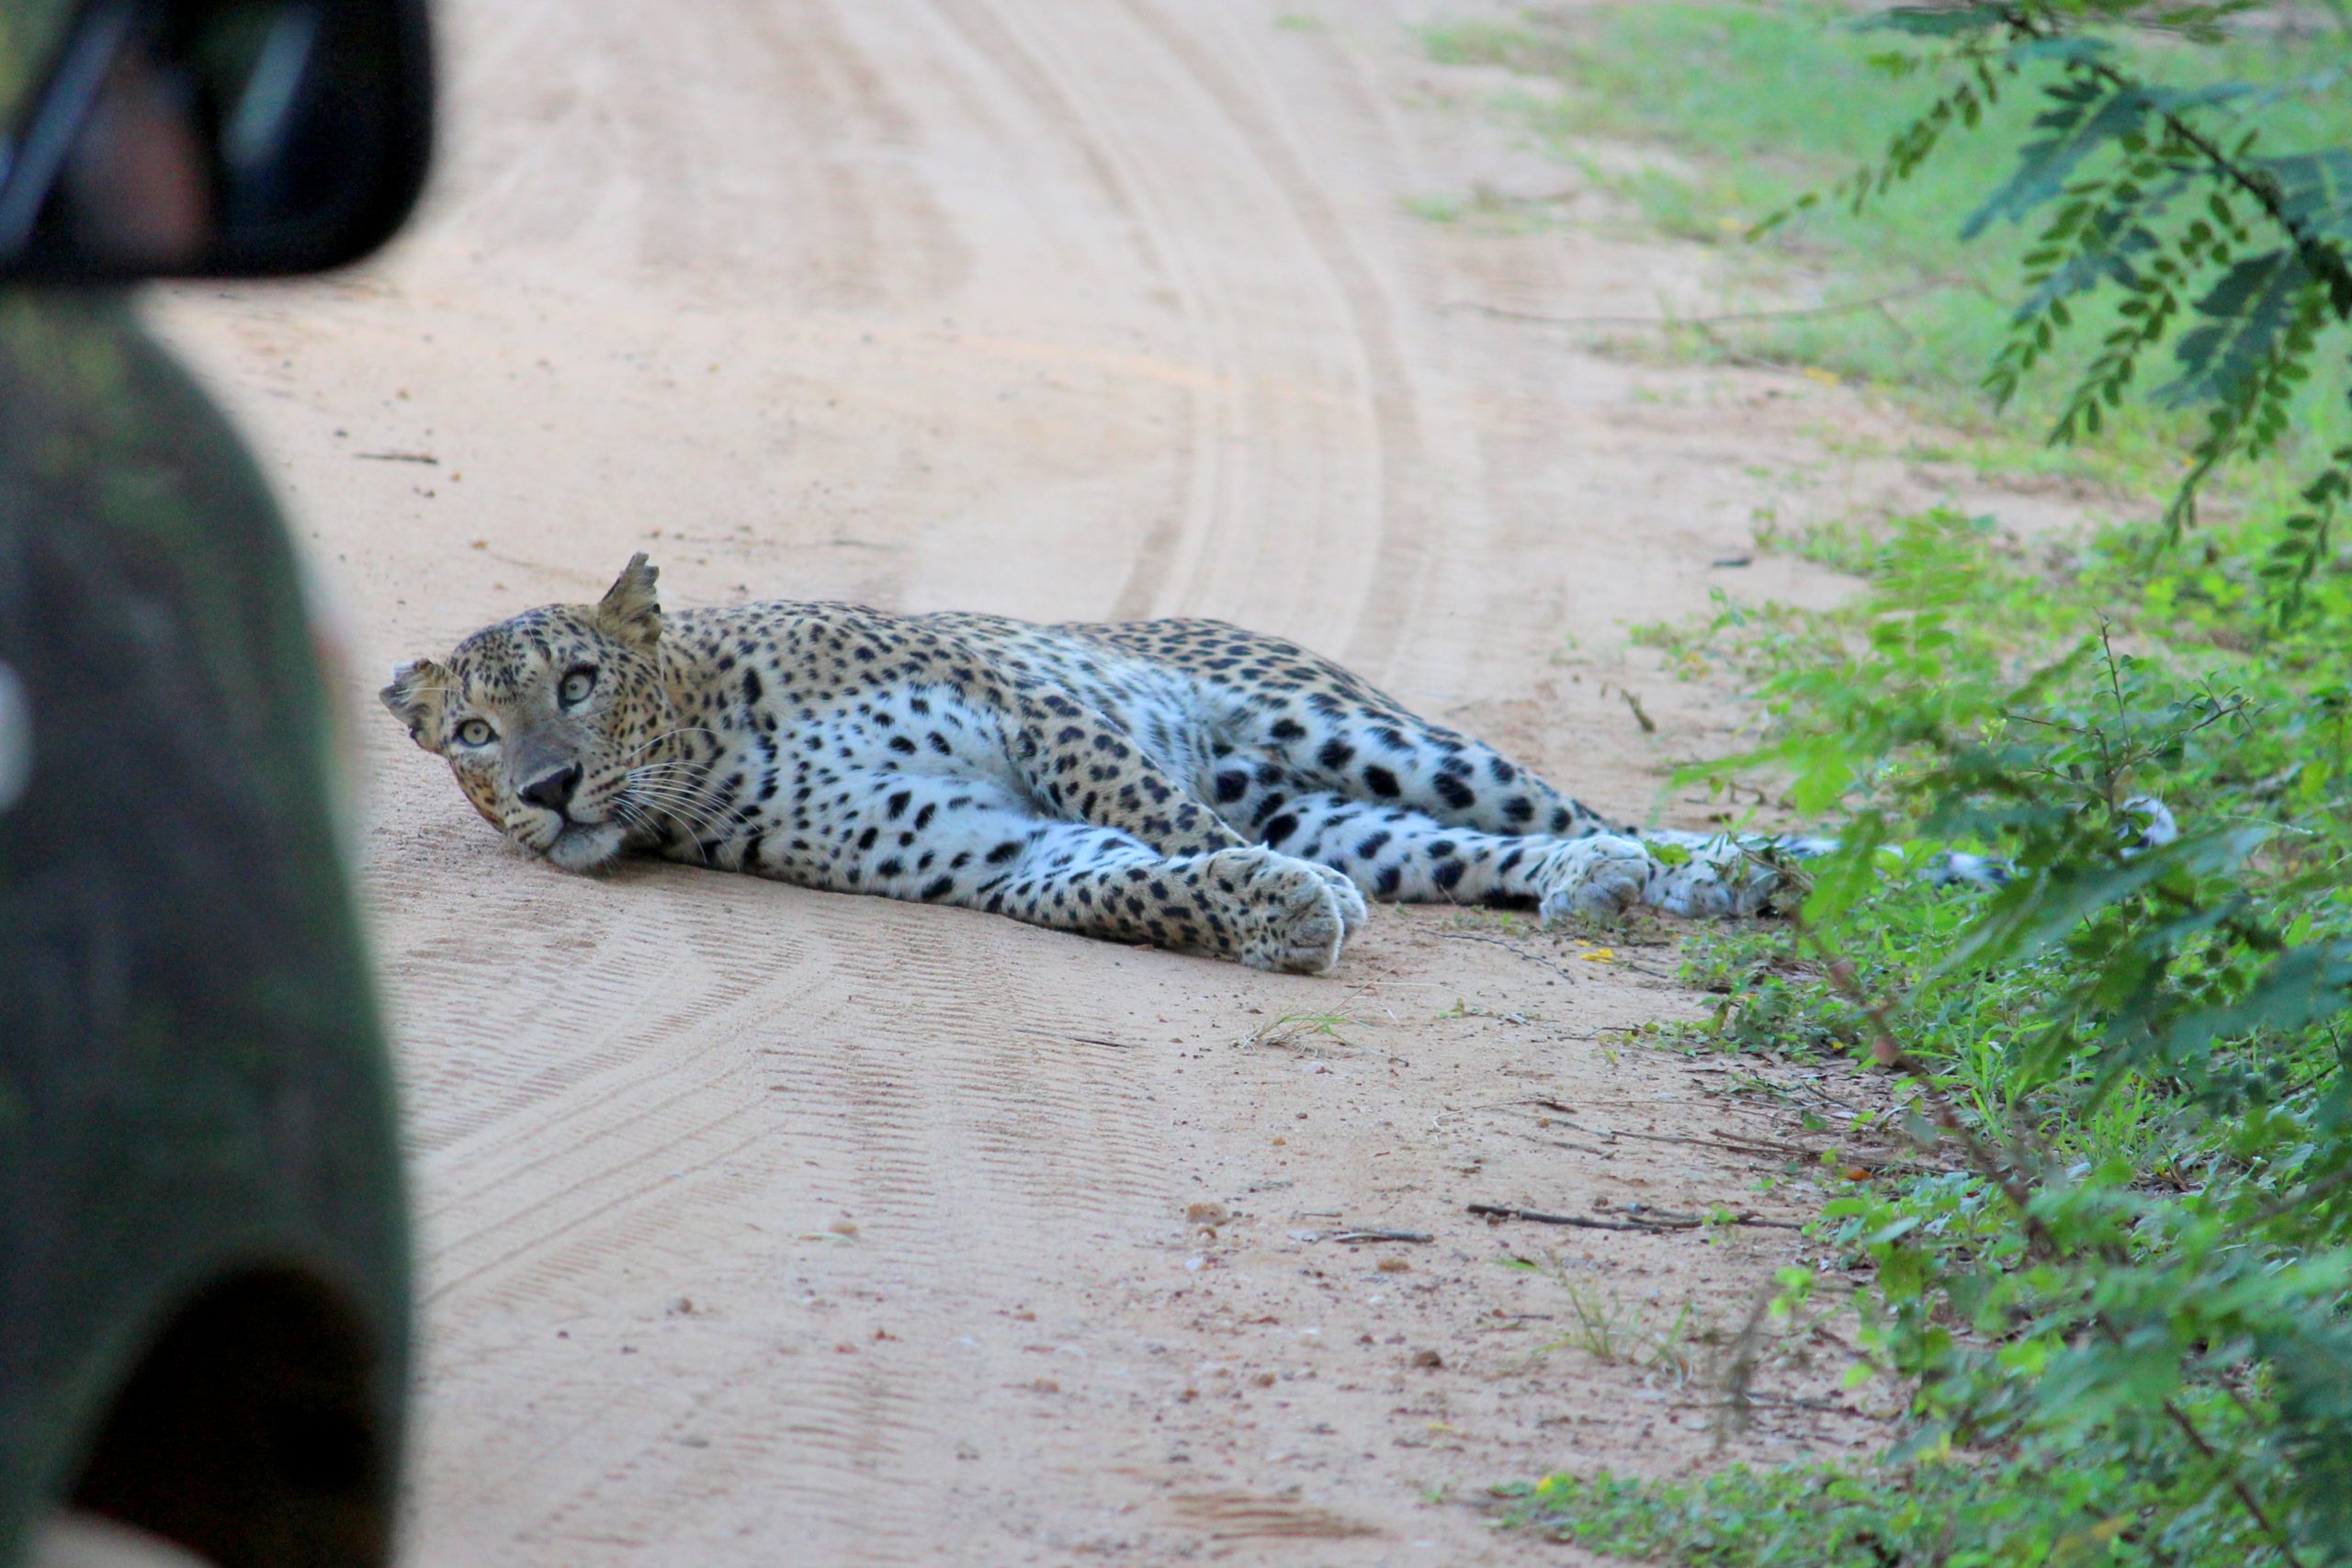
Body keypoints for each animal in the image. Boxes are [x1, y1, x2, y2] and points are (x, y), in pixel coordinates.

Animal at [385, 552, 1825, 968]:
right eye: (473, 733)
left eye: (578, 683)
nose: (547, 790)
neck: (714, 740)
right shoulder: (986, 846)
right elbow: (1128, 879)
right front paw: (1275, 913)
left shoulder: (1030, 707)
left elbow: (1154, 811)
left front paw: (1279, 900)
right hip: (1336, 807)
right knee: (1505, 848)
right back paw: (1602, 884)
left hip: (1360, 732)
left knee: (1590, 806)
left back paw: (1762, 872)